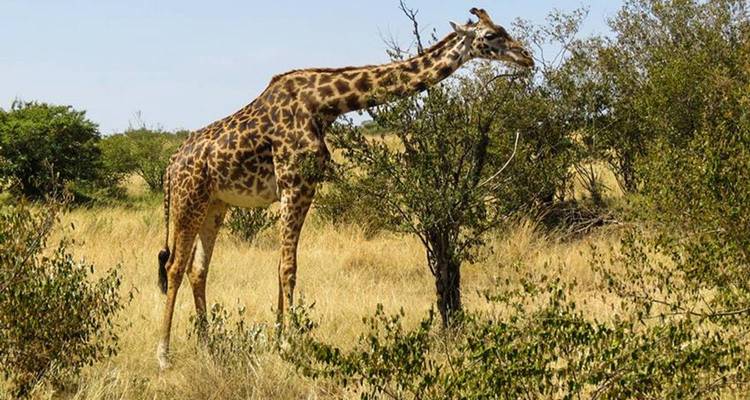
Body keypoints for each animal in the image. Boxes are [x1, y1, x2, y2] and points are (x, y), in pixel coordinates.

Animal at [155, 7, 534, 369]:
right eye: (490, 35)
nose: (527, 57)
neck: (326, 104)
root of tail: (171, 166)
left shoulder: (300, 188)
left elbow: (281, 266)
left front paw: (278, 341)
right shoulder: (295, 183)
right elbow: (287, 267)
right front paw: (289, 344)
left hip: (215, 205)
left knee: (198, 270)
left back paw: (208, 346)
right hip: (188, 201)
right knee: (174, 267)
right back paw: (164, 355)